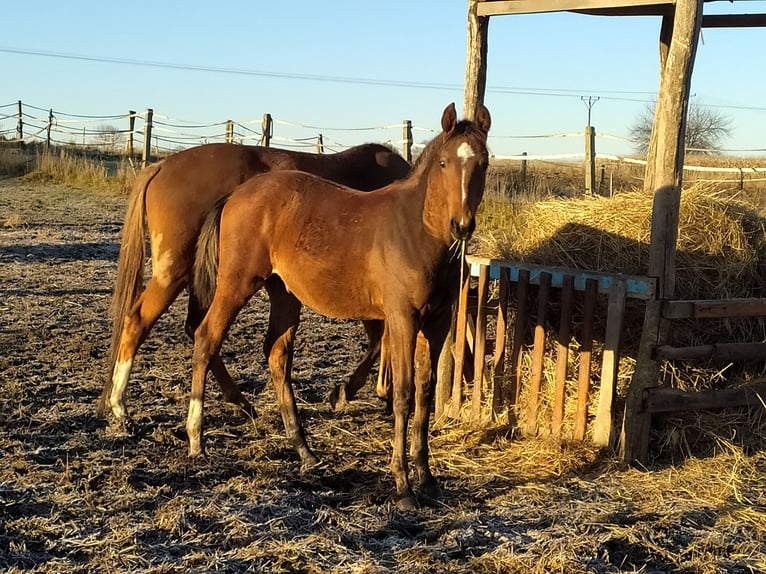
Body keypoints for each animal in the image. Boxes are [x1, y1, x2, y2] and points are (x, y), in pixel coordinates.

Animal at [98, 142, 411, 432]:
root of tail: (161, 166)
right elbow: (379, 340)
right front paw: (354, 392)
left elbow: (380, 339)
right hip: (175, 273)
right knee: (139, 321)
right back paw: (120, 406)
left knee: (196, 329)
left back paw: (240, 402)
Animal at [192, 103, 491, 509]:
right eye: (444, 162)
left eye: (484, 162)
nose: (461, 226)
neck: (416, 234)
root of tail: (236, 194)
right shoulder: (402, 318)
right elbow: (403, 394)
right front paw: (403, 486)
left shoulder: (438, 321)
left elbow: (425, 395)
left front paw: (427, 478)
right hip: (237, 283)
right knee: (206, 339)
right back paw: (196, 440)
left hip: (285, 293)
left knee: (276, 356)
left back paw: (305, 452)